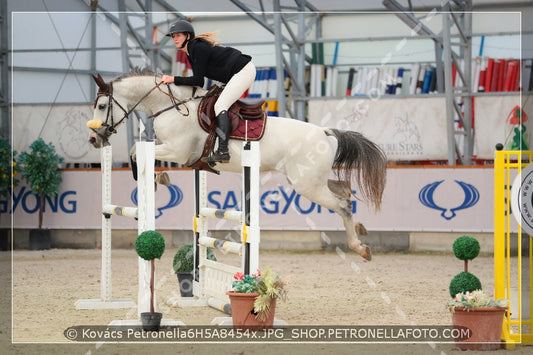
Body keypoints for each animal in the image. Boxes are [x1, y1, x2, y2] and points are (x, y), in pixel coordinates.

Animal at [87, 68, 386, 262]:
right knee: (345, 189)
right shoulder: (173, 150)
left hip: (307, 185)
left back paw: (360, 248)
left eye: (101, 106)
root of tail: (325, 132)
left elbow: (138, 152)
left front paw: (157, 181)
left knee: (343, 205)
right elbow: (137, 151)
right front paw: (156, 181)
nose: (94, 138)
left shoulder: (179, 151)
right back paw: (361, 232)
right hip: (308, 180)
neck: (172, 106)